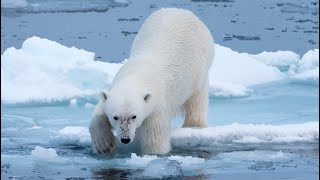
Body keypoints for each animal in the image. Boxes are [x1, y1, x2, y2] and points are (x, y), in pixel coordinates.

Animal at [89, 7, 215, 155]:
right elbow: (98, 115)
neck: (136, 75)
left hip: (199, 65)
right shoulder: (113, 88)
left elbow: (155, 140)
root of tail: (181, 10)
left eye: (134, 116)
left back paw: (194, 125)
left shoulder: (157, 107)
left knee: (197, 98)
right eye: (115, 117)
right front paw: (104, 145)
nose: (125, 139)